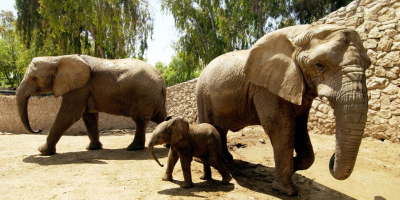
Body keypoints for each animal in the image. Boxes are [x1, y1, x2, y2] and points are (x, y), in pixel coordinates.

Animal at [16, 54, 167, 155]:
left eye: (34, 78)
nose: (39, 129)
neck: (57, 58)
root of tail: (161, 81)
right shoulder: (84, 88)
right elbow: (89, 116)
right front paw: (92, 148)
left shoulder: (80, 87)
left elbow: (69, 114)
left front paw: (42, 151)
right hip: (153, 97)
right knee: (161, 117)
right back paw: (166, 145)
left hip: (144, 95)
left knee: (140, 120)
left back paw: (133, 148)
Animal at [195, 24, 370, 195]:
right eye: (319, 65)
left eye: (367, 65)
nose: (332, 158)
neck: (302, 31)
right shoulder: (267, 87)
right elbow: (280, 127)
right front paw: (287, 190)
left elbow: (300, 126)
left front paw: (294, 165)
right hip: (202, 95)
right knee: (211, 125)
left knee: (221, 130)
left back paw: (227, 160)